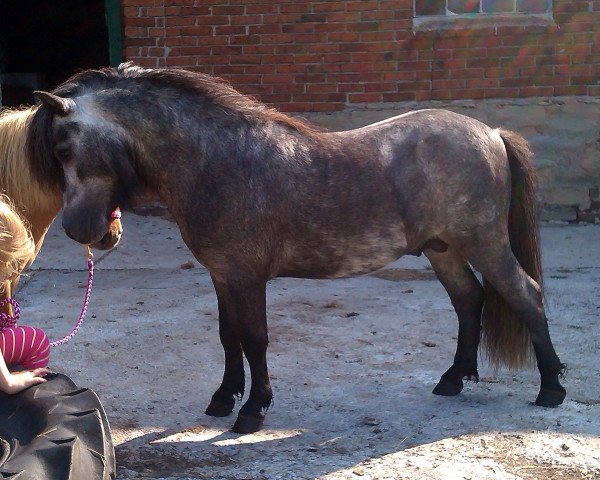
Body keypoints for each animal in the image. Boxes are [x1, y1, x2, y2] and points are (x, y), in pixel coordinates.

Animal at [25, 63, 564, 436]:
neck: (216, 161)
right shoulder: (222, 275)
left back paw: (552, 388)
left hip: (484, 243)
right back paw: (454, 378)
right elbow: (228, 337)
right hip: (444, 248)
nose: (79, 230)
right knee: (469, 299)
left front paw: (253, 410)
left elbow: (255, 339)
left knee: (526, 295)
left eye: (65, 149)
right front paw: (223, 398)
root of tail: (490, 133)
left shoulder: (247, 278)